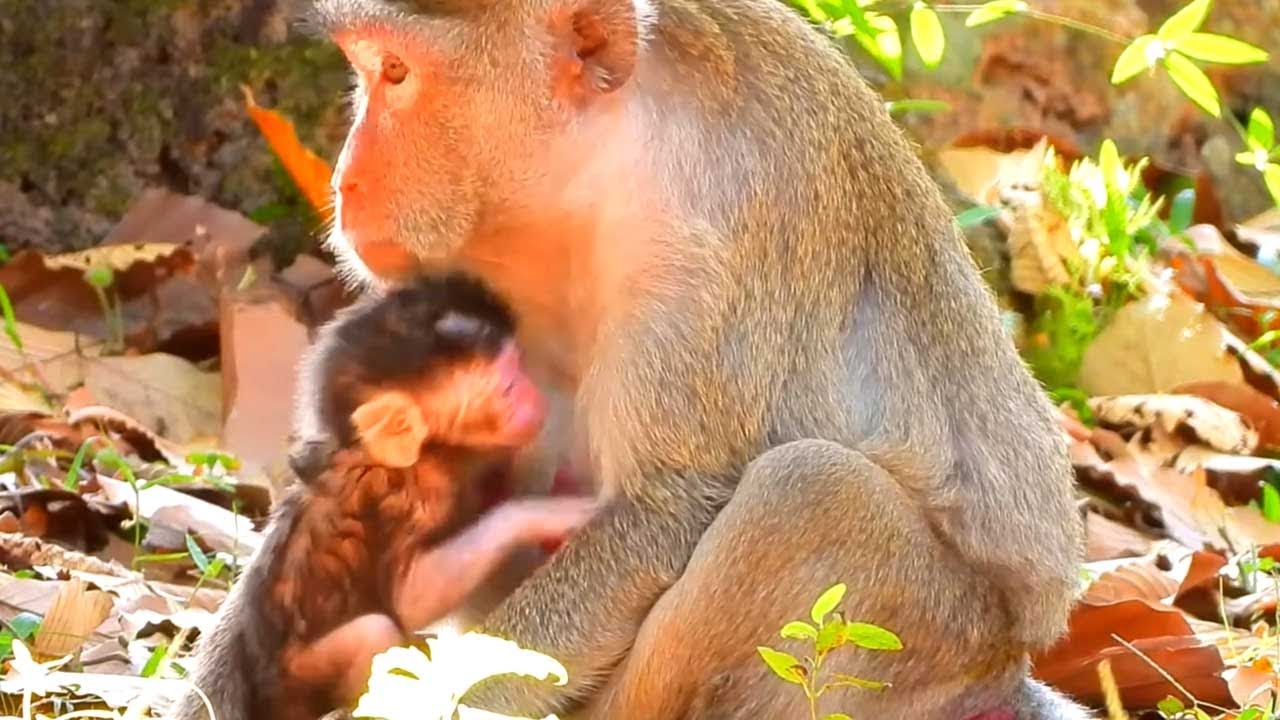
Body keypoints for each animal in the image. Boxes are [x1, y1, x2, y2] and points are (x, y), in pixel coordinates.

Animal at [167, 275, 595, 720]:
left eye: (519, 367)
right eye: (509, 387)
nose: (534, 396)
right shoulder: (405, 499)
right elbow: (411, 598)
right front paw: (541, 514)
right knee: (373, 631)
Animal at [289, 1, 1094, 718]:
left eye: (396, 72)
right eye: (369, 69)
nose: (345, 180)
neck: (608, 161)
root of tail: (1003, 669)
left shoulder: (703, 256)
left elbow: (668, 507)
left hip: (928, 642)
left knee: (812, 489)